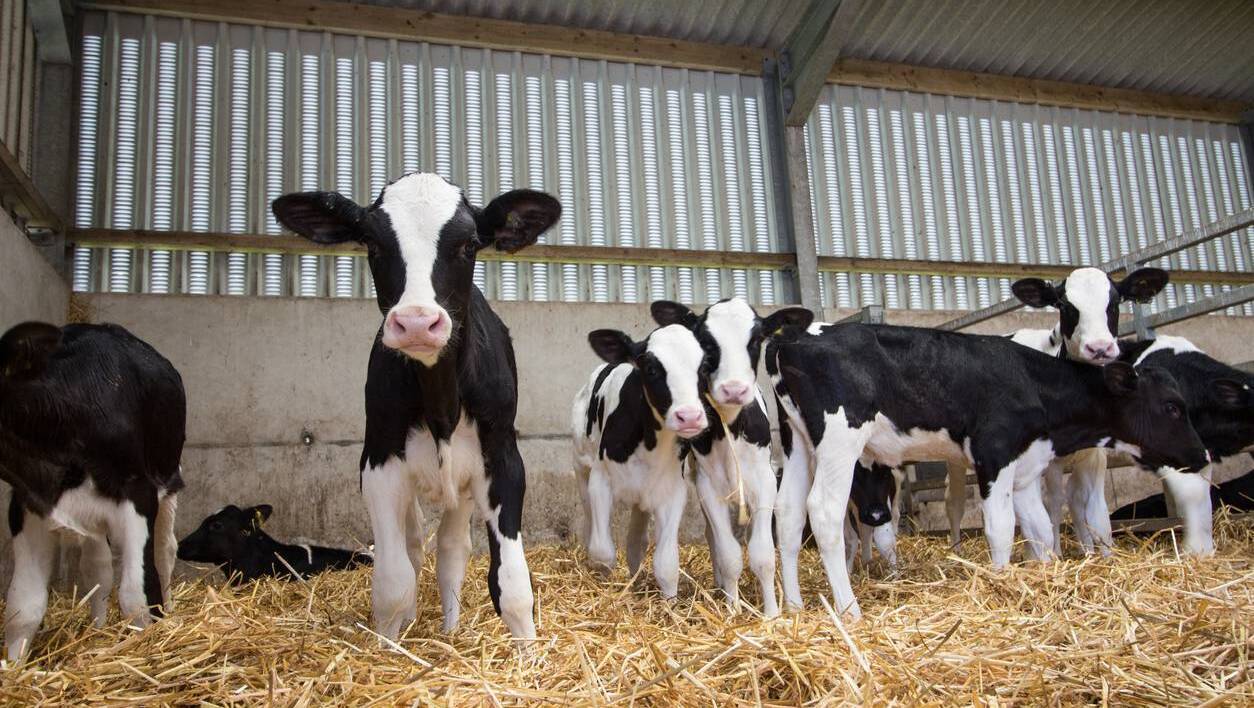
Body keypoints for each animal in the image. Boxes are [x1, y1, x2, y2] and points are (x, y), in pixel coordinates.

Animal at [0, 321, 184, 660]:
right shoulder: (27, 504)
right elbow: (23, 606)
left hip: (169, 477)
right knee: (97, 567)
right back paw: (97, 628)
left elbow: (136, 595)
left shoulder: (139, 495)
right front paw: (15, 665)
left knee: (165, 551)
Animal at [271, 173, 561, 641]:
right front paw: (389, 645)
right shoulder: (379, 461)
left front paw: (529, 654)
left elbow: (514, 585)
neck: (441, 402)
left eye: (469, 245)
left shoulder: (502, 457)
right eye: (373, 244)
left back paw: (450, 630)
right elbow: (393, 584)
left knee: (451, 549)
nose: (418, 322)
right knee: (413, 547)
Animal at [571, 324, 710, 601]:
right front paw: (605, 590)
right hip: (581, 467)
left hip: (643, 495)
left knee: (636, 540)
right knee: (591, 523)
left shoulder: (672, 492)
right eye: (651, 368)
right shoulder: (600, 482)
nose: (690, 417)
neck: (648, 443)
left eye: (703, 367)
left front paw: (669, 605)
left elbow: (666, 563)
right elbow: (602, 552)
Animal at [650, 298, 810, 617]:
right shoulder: (708, 488)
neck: (732, 428)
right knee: (714, 537)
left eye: (756, 339)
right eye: (706, 342)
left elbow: (762, 554)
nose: (734, 389)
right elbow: (729, 555)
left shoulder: (765, 482)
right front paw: (732, 608)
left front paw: (771, 613)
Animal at [768, 321, 1209, 617]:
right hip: (840, 439)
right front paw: (1001, 582)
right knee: (823, 511)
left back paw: (794, 607)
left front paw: (1044, 576)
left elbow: (1039, 529)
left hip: (796, 442)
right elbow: (1001, 528)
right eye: (1172, 406)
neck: (1033, 384)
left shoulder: (1026, 468)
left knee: (788, 516)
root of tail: (796, 337)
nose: (1202, 456)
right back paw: (850, 611)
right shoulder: (993, 453)